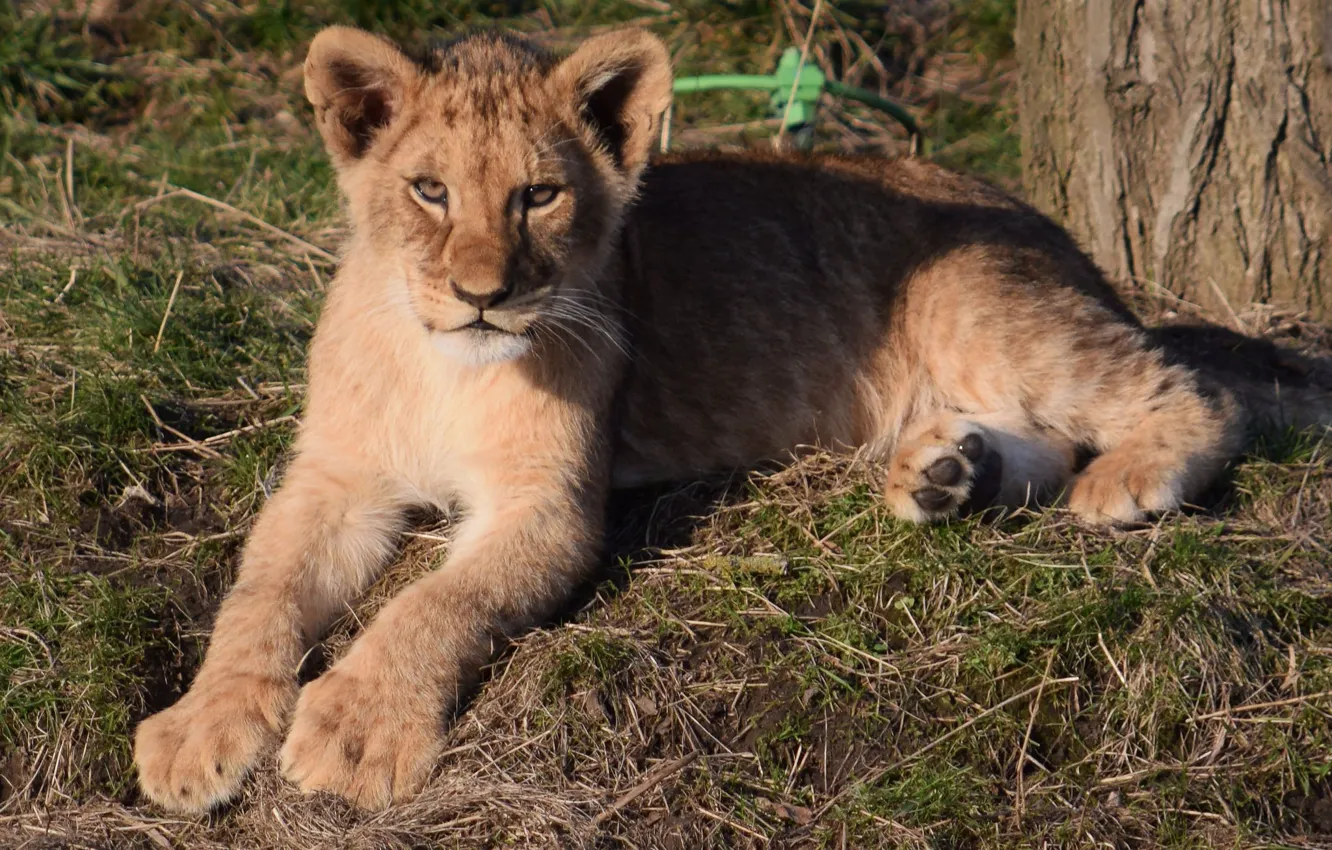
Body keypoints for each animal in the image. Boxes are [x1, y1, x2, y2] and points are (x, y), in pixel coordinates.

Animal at [133, 25, 1329, 812]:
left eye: (538, 196)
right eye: (428, 191)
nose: (484, 294)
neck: (443, 363)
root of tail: (1063, 236)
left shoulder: (551, 506)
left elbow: (436, 603)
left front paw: (352, 729)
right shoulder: (332, 478)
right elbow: (258, 595)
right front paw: (199, 733)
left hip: (975, 304)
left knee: (1192, 388)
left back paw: (1122, 480)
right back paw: (947, 474)